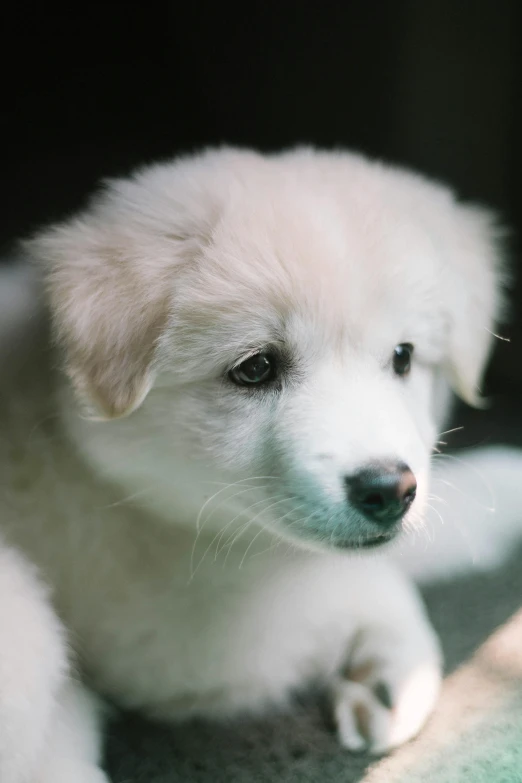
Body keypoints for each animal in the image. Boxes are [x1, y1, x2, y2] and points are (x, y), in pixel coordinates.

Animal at [0, 149, 516, 783]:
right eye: (254, 369)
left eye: (403, 357)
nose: (389, 491)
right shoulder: (169, 629)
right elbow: (372, 582)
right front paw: (390, 663)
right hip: (25, 622)